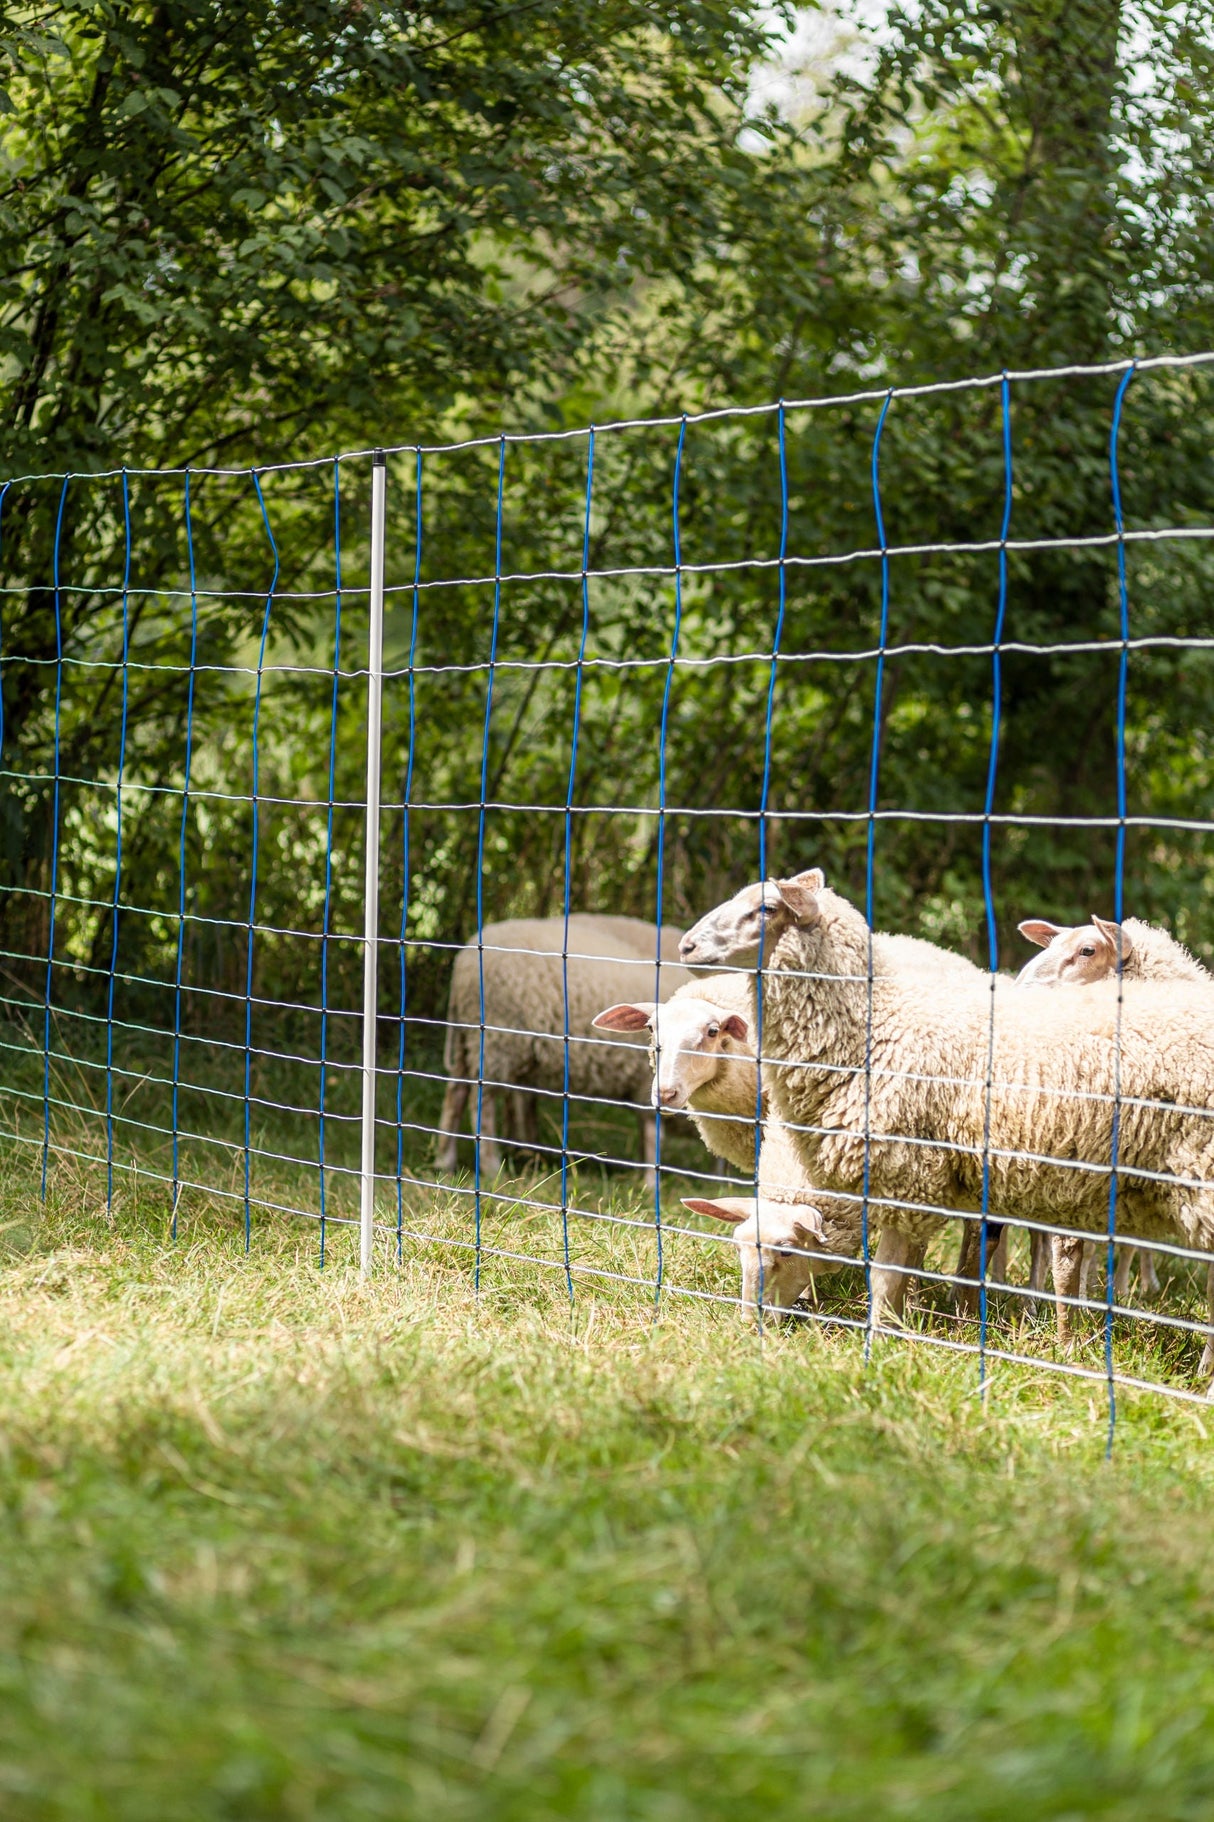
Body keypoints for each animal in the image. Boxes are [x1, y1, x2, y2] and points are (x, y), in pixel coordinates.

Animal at [435, 911, 685, 1180]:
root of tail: (464, 963)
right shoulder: (643, 1082)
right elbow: (652, 1132)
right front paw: (650, 1179)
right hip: (498, 1043)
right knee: (482, 1101)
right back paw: (491, 1166)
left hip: (470, 1040)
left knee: (455, 1093)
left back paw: (445, 1160)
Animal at [681, 867, 1214, 1377]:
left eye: (767, 909)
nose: (685, 946)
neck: (877, 1031)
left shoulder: (909, 1174)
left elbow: (889, 1274)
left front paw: (883, 1340)